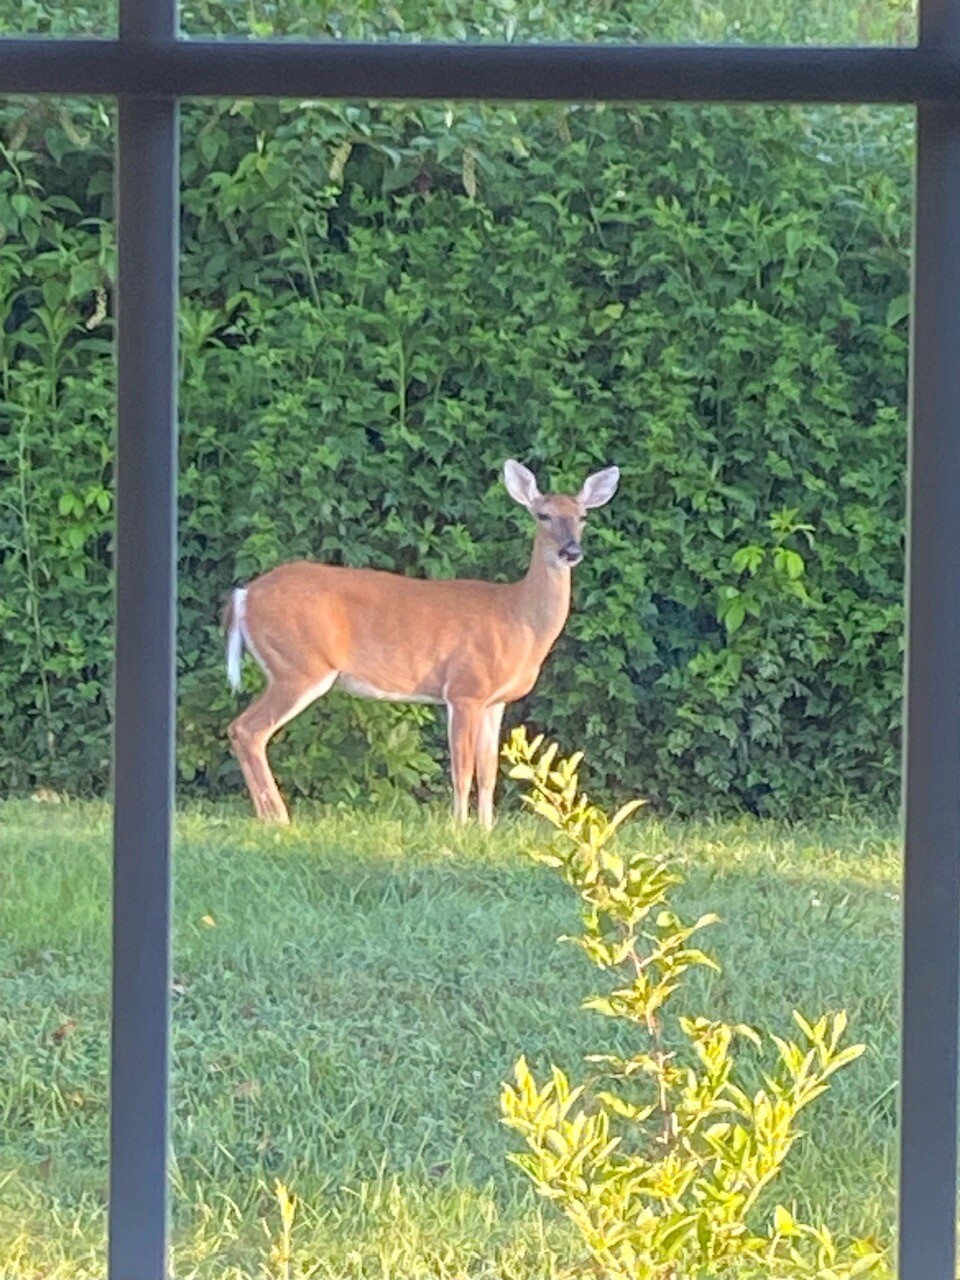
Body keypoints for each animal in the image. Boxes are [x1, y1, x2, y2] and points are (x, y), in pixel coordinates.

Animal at [223, 459, 620, 828]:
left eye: (583, 516)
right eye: (543, 515)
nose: (571, 551)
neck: (519, 618)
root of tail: (245, 595)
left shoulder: (495, 701)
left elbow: (489, 773)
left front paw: (486, 830)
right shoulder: (465, 689)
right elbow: (462, 770)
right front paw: (459, 829)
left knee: (242, 730)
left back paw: (269, 816)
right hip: (300, 666)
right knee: (247, 729)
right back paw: (279, 818)